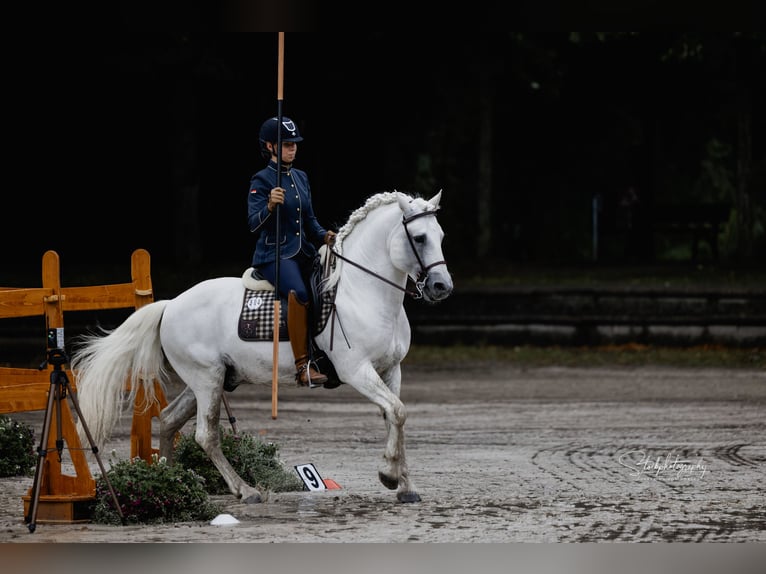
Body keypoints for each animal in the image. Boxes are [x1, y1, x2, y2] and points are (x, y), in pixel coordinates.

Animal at [71, 190, 453, 504]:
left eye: (441, 237)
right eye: (419, 238)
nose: (441, 286)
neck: (364, 292)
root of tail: (170, 305)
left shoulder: (391, 369)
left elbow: (394, 416)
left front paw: (404, 486)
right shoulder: (356, 371)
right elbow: (397, 412)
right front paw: (388, 475)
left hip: (211, 379)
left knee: (168, 420)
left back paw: (171, 477)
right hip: (206, 379)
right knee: (205, 435)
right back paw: (245, 490)